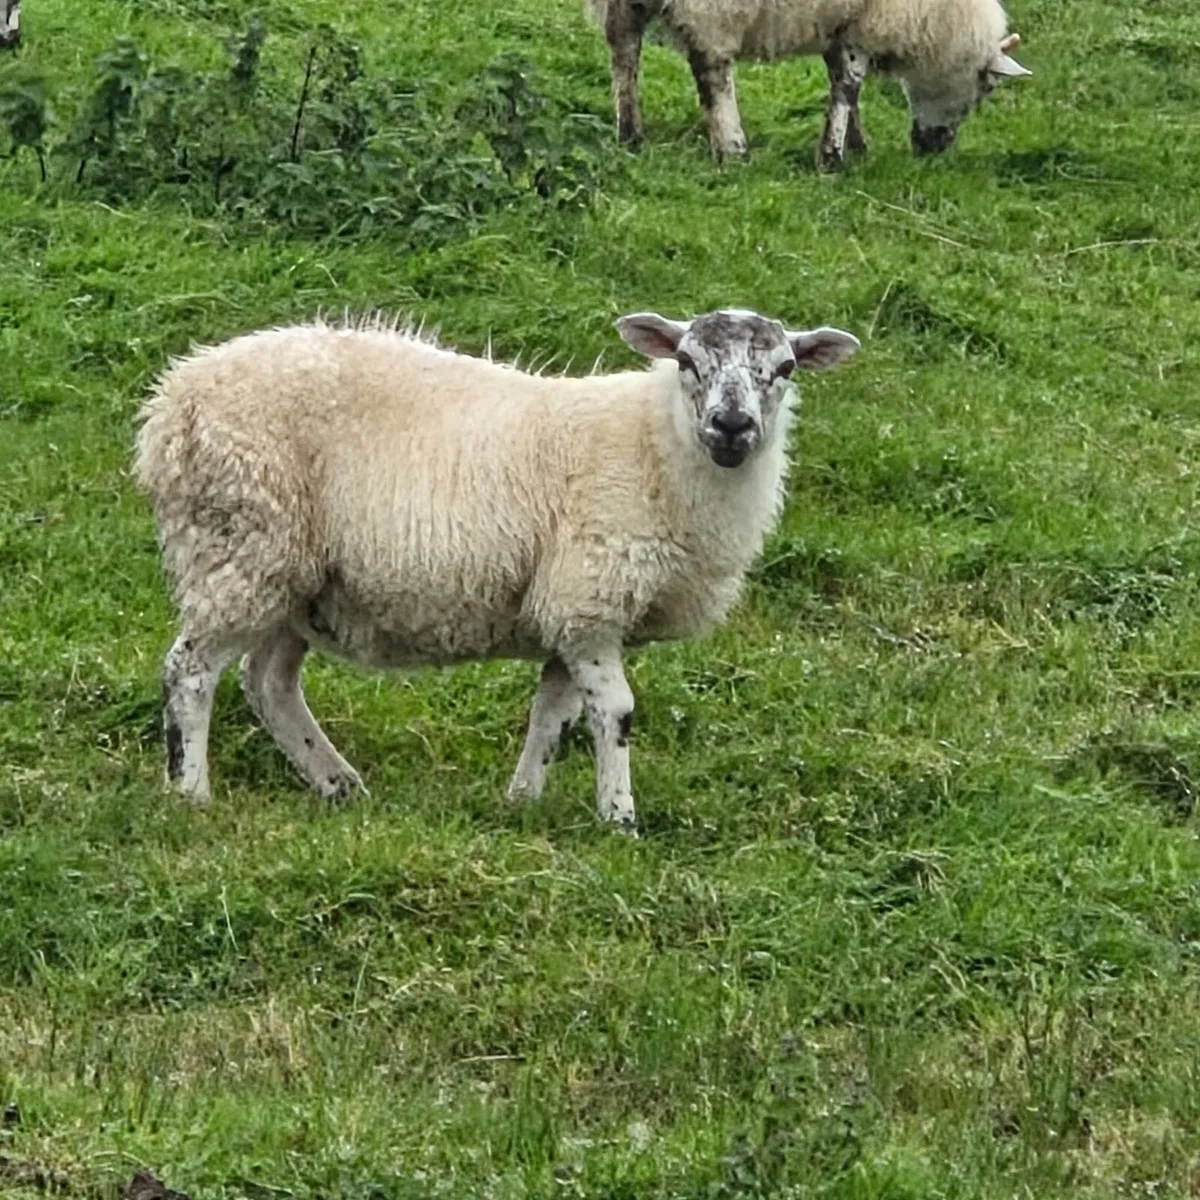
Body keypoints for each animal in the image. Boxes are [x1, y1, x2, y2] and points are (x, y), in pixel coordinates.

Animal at [134, 308, 859, 833]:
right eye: (686, 361)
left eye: (785, 367)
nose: (732, 426)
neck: (654, 444)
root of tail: (171, 401)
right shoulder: (590, 600)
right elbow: (615, 712)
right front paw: (619, 819)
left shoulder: (568, 615)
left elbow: (552, 715)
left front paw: (522, 801)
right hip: (241, 546)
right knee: (191, 671)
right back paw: (192, 794)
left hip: (298, 579)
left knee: (269, 683)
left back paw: (338, 783)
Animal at [586, 0, 1031, 170]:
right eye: (984, 89)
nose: (934, 150)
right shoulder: (868, 22)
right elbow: (848, 84)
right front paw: (831, 158)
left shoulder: (842, 23)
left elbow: (843, 84)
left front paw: (856, 143)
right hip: (714, 8)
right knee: (712, 69)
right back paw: (733, 147)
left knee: (623, 49)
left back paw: (630, 134)